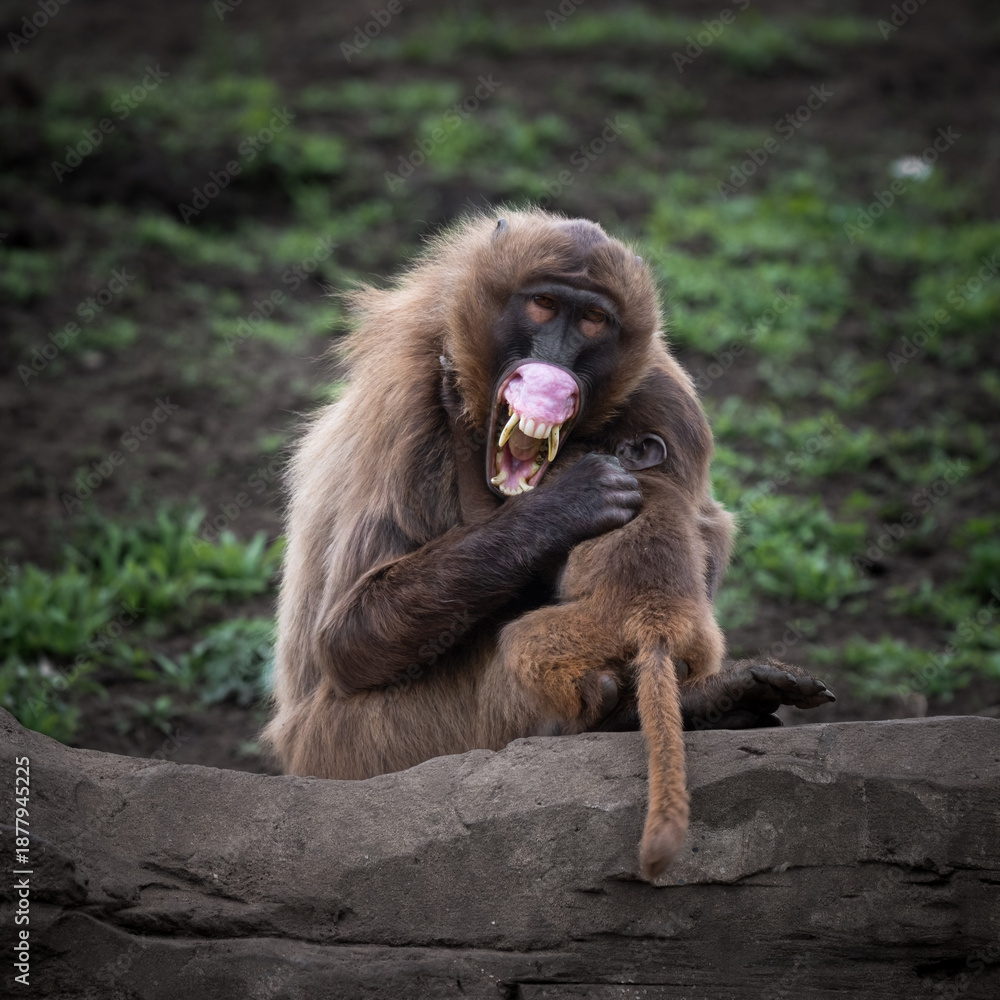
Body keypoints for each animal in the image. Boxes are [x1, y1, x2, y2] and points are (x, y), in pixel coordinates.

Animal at [263, 209, 835, 823]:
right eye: (543, 304)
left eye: (592, 320)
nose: (556, 357)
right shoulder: (405, 403)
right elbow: (344, 640)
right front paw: (567, 506)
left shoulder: (667, 400)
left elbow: (708, 527)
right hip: (354, 744)